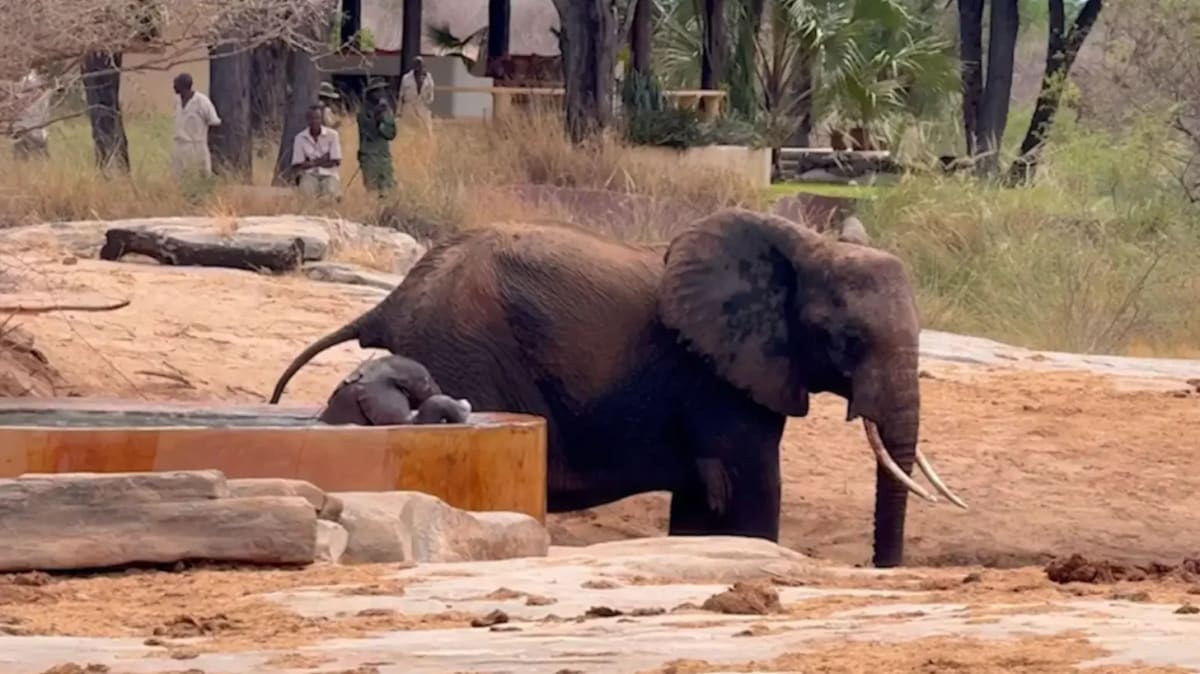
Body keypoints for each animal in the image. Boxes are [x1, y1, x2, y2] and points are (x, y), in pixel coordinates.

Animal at [271, 208, 966, 567]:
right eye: (845, 339)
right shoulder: (716, 373)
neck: (805, 246)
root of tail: (390, 301)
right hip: (460, 347)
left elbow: (705, 500)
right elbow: (748, 486)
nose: (880, 569)